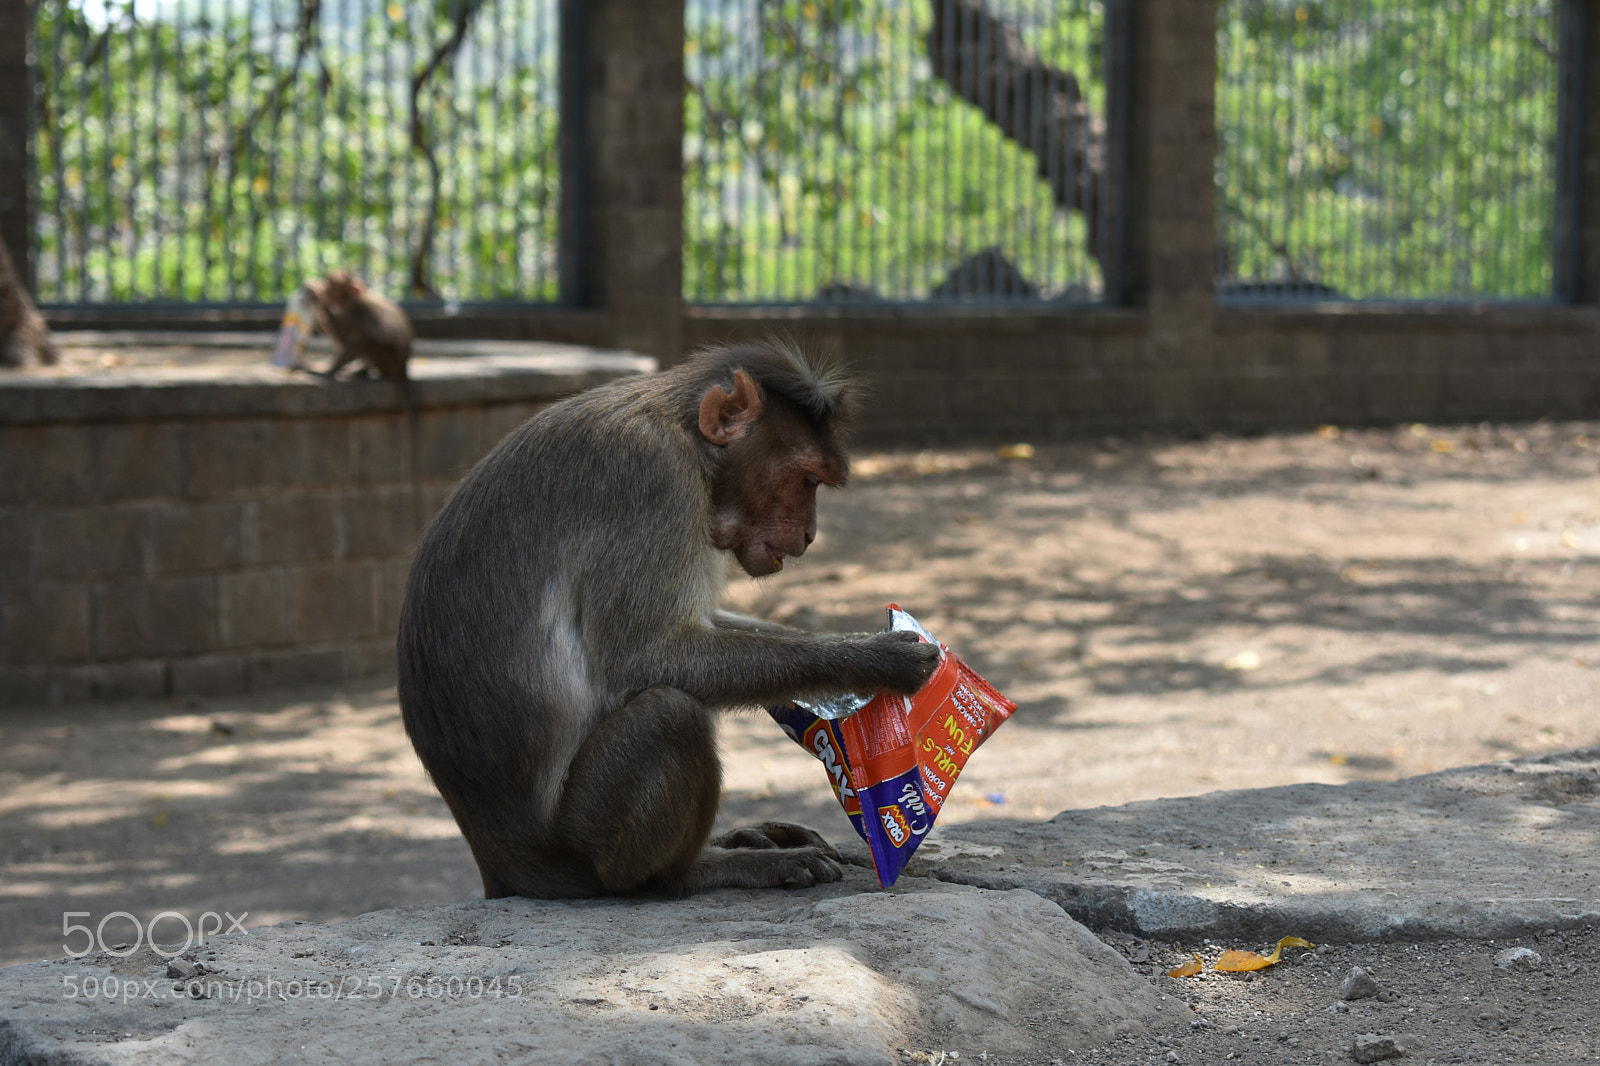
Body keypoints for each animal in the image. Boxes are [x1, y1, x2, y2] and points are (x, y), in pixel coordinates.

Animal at [396, 338, 941, 900]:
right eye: (807, 479)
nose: (810, 535)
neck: (688, 438)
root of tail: (504, 863)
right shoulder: (653, 482)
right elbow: (647, 658)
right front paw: (877, 660)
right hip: (584, 842)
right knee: (669, 715)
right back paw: (698, 870)